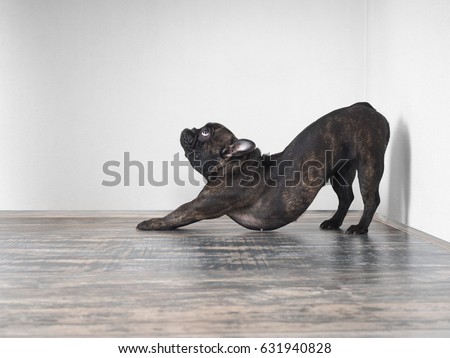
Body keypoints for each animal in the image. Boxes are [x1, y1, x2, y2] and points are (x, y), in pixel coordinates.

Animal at [137, 102, 390, 234]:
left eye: (206, 132)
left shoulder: (200, 206)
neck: (233, 165)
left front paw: (150, 223)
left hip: (369, 164)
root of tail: (365, 107)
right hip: (340, 172)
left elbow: (176, 214)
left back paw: (360, 228)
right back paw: (334, 222)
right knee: (346, 197)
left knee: (370, 199)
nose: (189, 128)